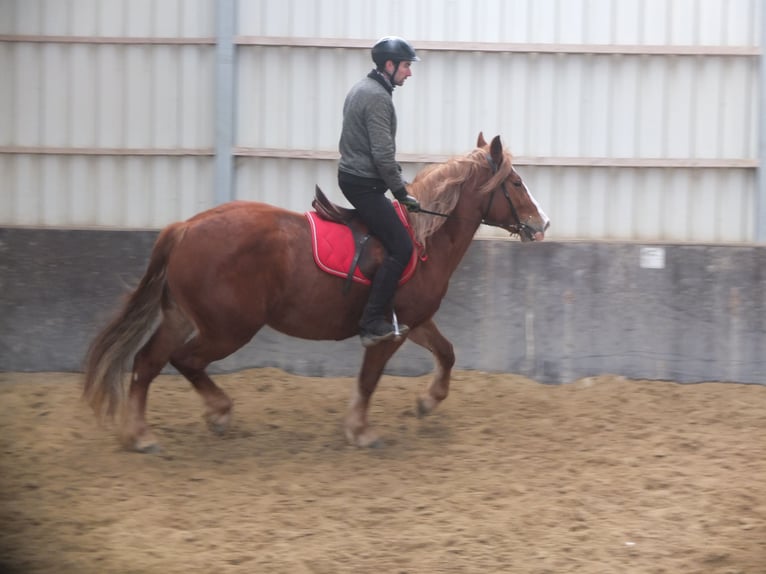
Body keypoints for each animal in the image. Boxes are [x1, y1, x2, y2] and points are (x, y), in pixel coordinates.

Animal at [84, 133, 548, 452]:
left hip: (182, 316)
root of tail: (185, 227)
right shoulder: (386, 332)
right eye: (516, 183)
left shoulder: (415, 322)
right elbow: (368, 379)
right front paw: (361, 431)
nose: (541, 224)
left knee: (147, 363)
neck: (423, 239)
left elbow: (447, 353)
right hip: (228, 329)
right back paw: (217, 412)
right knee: (183, 361)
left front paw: (426, 403)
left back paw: (140, 435)